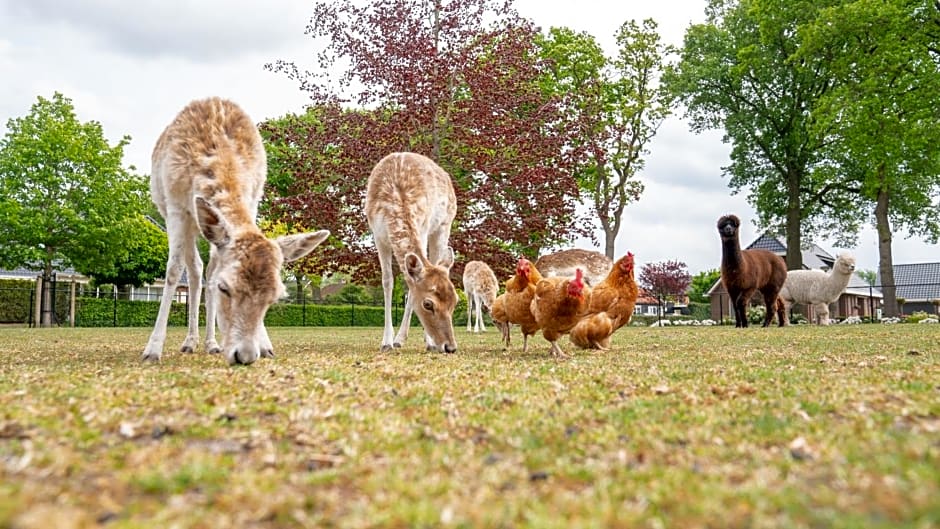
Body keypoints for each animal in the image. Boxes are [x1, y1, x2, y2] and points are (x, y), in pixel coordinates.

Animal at [141, 97, 328, 366]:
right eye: (224, 288)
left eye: (274, 297)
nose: (245, 355)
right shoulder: (175, 208)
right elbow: (174, 270)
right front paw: (152, 350)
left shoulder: (252, 200)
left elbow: (212, 270)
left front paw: (266, 346)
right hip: (183, 217)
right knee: (195, 269)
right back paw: (190, 342)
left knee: (206, 269)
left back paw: (211, 343)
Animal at [364, 151, 458, 352]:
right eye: (428, 304)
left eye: (455, 301)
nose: (450, 347)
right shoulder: (378, 236)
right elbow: (387, 281)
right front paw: (386, 342)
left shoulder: (422, 227)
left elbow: (410, 285)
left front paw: (405, 340)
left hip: (443, 226)